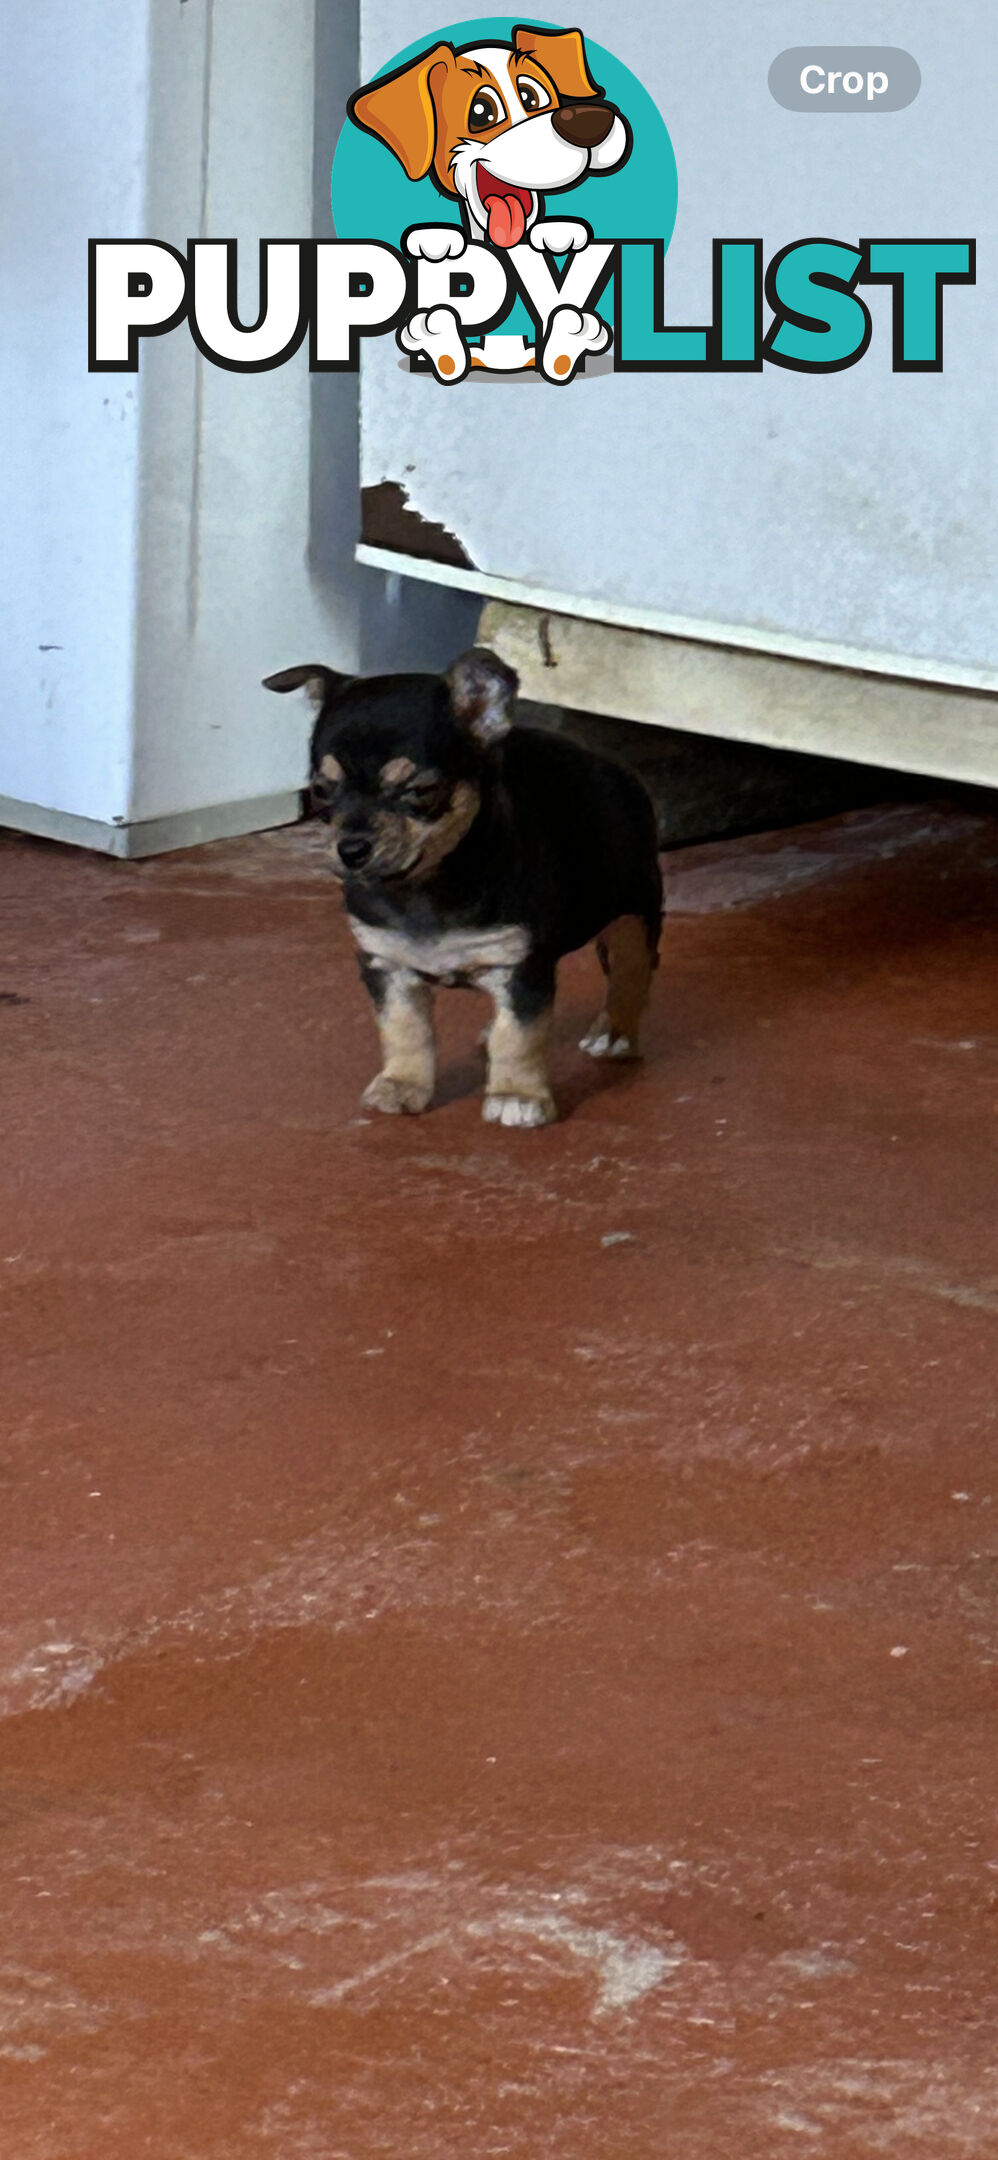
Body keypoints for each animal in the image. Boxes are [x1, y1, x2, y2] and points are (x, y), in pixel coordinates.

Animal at [263, 643, 661, 1131]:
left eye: (418, 790)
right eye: (321, 791)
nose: (350, 849)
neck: (424, 889)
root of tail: (613, 767)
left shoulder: (520, 967)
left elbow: (520, 1037)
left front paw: (517, 1095)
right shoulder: (387, 967)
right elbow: (404, 1031)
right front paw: (402, 1085)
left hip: (634, 911)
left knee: (631, 971)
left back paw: (614, 1032)